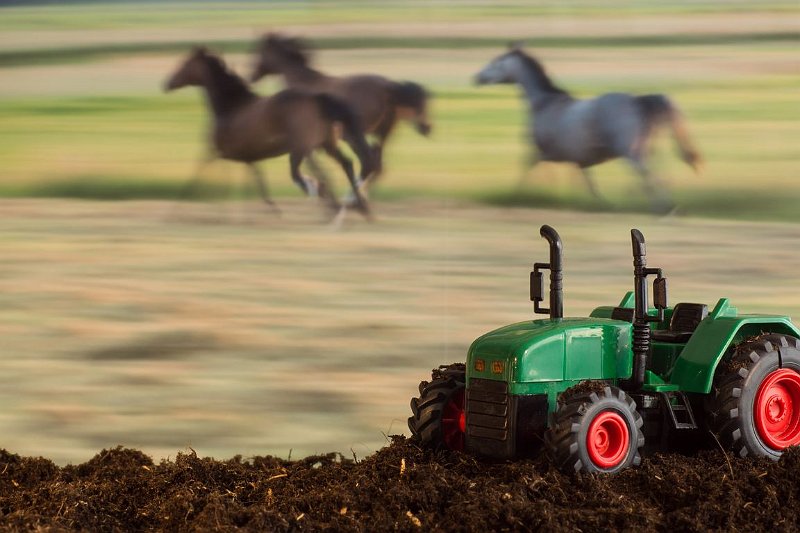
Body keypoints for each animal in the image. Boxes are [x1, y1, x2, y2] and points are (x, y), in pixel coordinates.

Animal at [165, 45, 376, 219]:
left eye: (185, 63)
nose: (166, 84)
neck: (231, 107)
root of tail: (318, 99)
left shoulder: (217, 152)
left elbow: (197, 174)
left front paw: (174, 210)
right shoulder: (247, 156)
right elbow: (257, 179)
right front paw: (270, 209)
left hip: (303, 147)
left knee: (313, 172)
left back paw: (333, 203)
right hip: (325, 144)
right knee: (346, 164)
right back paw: (359, 208)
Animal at [253, 32, 434, 187]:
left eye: (260, 52)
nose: (252, 75)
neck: (304, 83)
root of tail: (387, 87)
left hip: (354, 136)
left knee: (368, 163)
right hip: (381, 133)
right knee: (377, 167)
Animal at [476, 45, 700, 212]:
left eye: (496, 62)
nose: (476, 78)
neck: (544, 104)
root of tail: (637, 101)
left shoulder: (540, 153)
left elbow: (525, 172)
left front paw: (514, 196)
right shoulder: (579, 160)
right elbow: (588, 184)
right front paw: (604, 204)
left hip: (632, 154)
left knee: (651, 177)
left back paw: (663, 209)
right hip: (648, 149)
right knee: (659, 175)